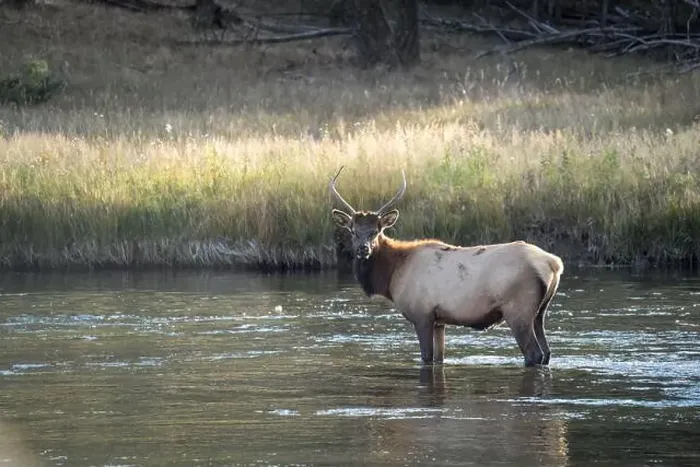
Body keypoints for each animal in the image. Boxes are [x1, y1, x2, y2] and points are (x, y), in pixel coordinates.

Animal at [329, 167, 564, 367]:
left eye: (376, 231)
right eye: (353, 231)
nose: (363, 249)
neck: (394, 274)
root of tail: (554, 263)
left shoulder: (421, 314)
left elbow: (426, 357)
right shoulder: (439, 321)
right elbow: (439, 358)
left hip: (518, 310)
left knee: (534, 354)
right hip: (539, 312)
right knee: (547, 352)